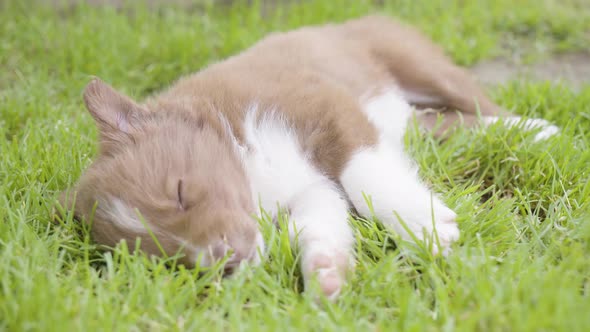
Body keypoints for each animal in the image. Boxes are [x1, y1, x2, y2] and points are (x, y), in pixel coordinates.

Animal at [60, 15, 560, 300]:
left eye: (180, 192)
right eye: (160, 256)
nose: (225, 262)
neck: (251, 169)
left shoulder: (322, 103)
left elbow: (363, 172)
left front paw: (424, 225)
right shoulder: (312, 192)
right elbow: (318, 225)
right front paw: (326, 275)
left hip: (414, 62)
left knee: (481, 103)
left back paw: (538, 130)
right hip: (419, 120)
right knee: (451, 123)